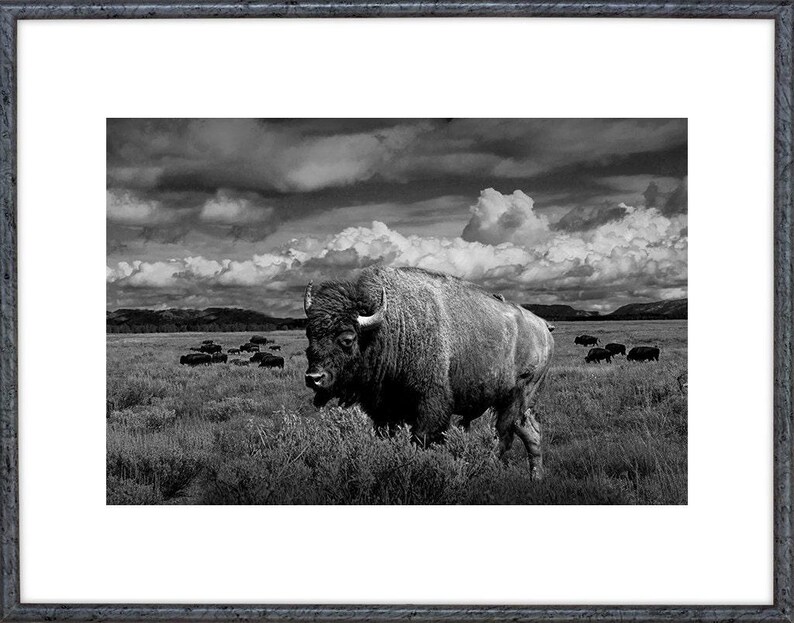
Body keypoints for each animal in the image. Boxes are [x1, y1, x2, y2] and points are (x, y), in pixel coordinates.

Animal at [303, 266, 554, 479]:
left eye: (347, 339)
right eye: (309, 334)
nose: (314, 378)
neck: (391, 326)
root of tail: (543, 327)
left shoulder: (430, 406)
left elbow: (422, 439)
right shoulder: (385, 410)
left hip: (516, 398)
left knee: (502, 437)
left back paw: (487, 469)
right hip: (517, 403)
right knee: (530, 432)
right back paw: (536, 478)